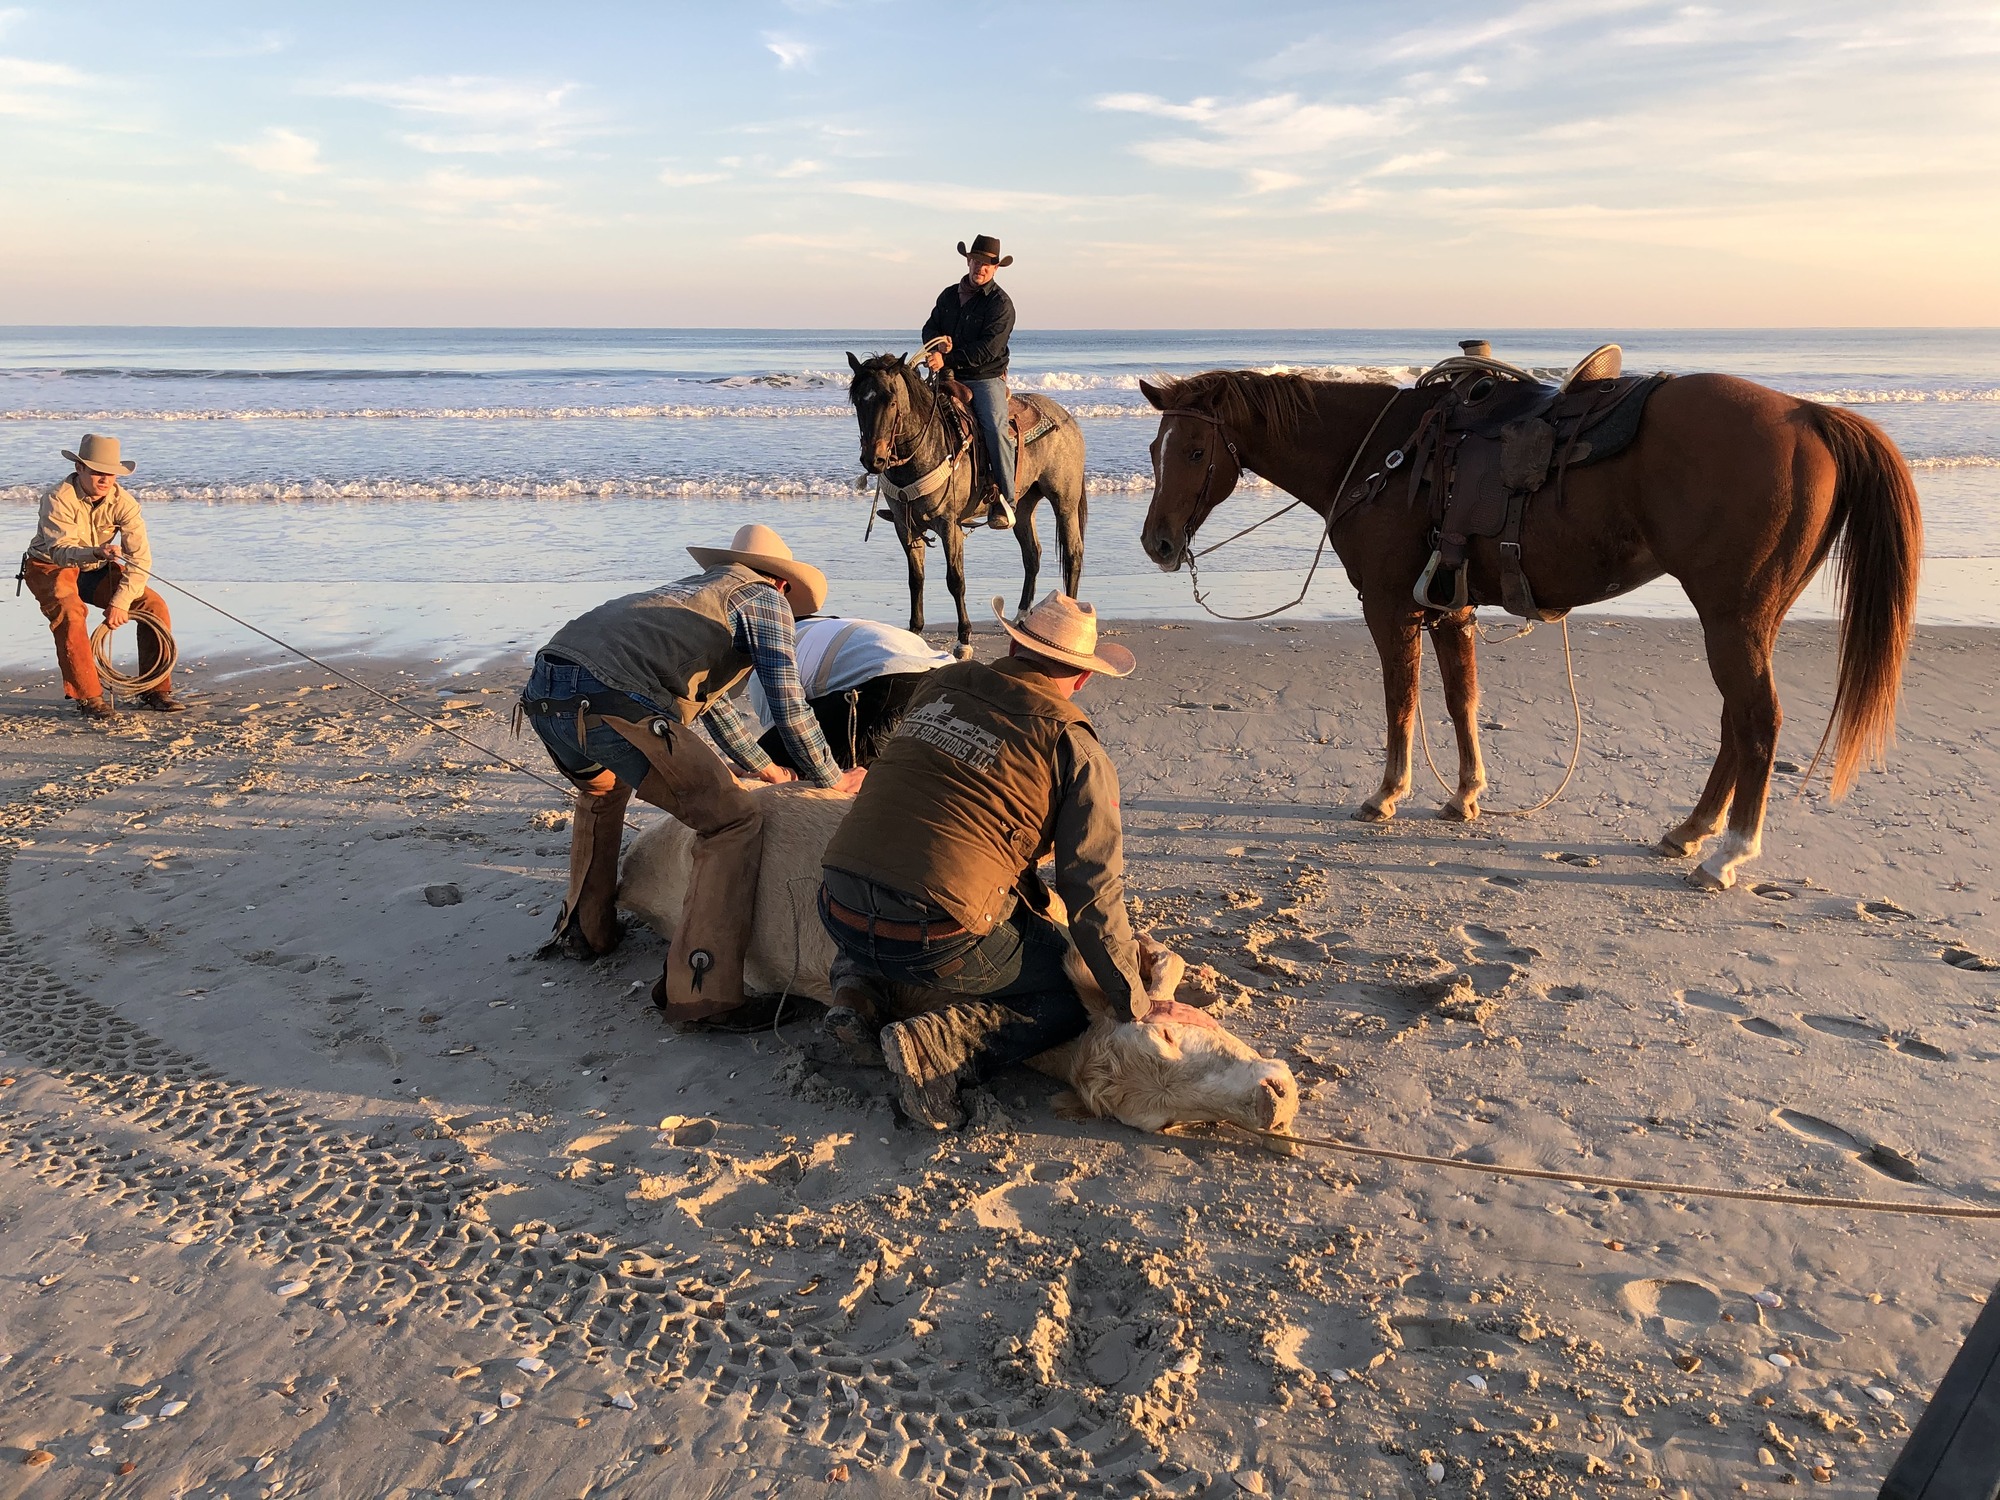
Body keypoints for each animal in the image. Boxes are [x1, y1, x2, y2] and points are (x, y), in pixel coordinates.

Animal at [846, 351, 1087, 657]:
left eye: (891, 400)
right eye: (858, 401)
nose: (873, 460)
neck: (927, 446)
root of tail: (1065, 416)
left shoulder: (949, 525)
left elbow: (955, 580)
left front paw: (964, 639)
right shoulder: (905, 525)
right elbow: (916, 579)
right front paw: (914, 632)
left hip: (1064, 501)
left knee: (1073, 553)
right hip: (1022, 506)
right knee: (1032, 554)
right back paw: (1021, 615)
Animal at [1137, 365, 1922, 891]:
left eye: (1196, 452)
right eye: (1153, 451)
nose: (1157, 543)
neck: (1383, 453)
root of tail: (1806, 414)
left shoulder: (1389, 606)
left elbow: (1401, 704)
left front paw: (1387, 794)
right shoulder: (1447, 607)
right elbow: (1461, 701)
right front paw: (1465, 795)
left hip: (1732, 619)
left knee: (1758, 722)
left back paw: (1729, 852)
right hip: (1750, 623)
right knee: (1738, 722)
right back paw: (1690, 832)